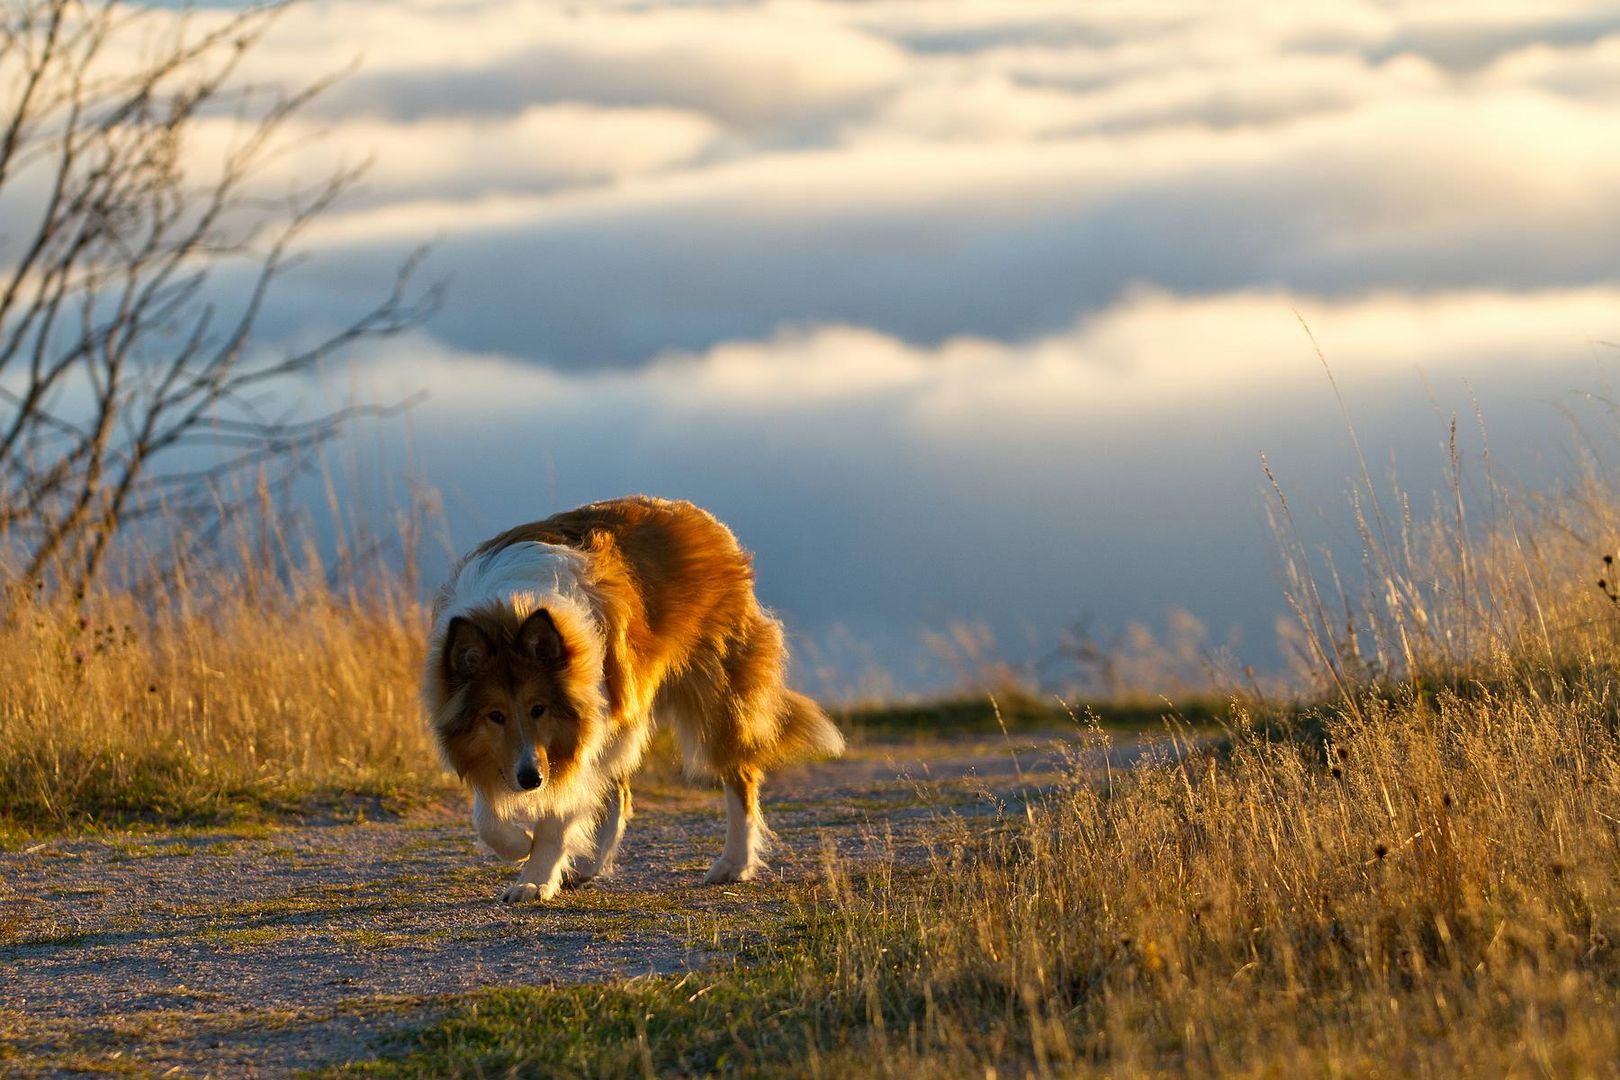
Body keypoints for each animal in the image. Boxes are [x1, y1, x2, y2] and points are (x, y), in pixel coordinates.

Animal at [424, 498, 842, 906]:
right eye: (495, 715)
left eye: (538, 709)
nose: (531, 780)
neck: (511, 611)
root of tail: (705, 520)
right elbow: (487, 816)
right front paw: (519, 844)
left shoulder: (579, 731)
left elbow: (557, 814)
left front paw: (535, 877)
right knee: (618, 792)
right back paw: (588, 865)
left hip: (713, 694)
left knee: (740, 775)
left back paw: (734, 864)